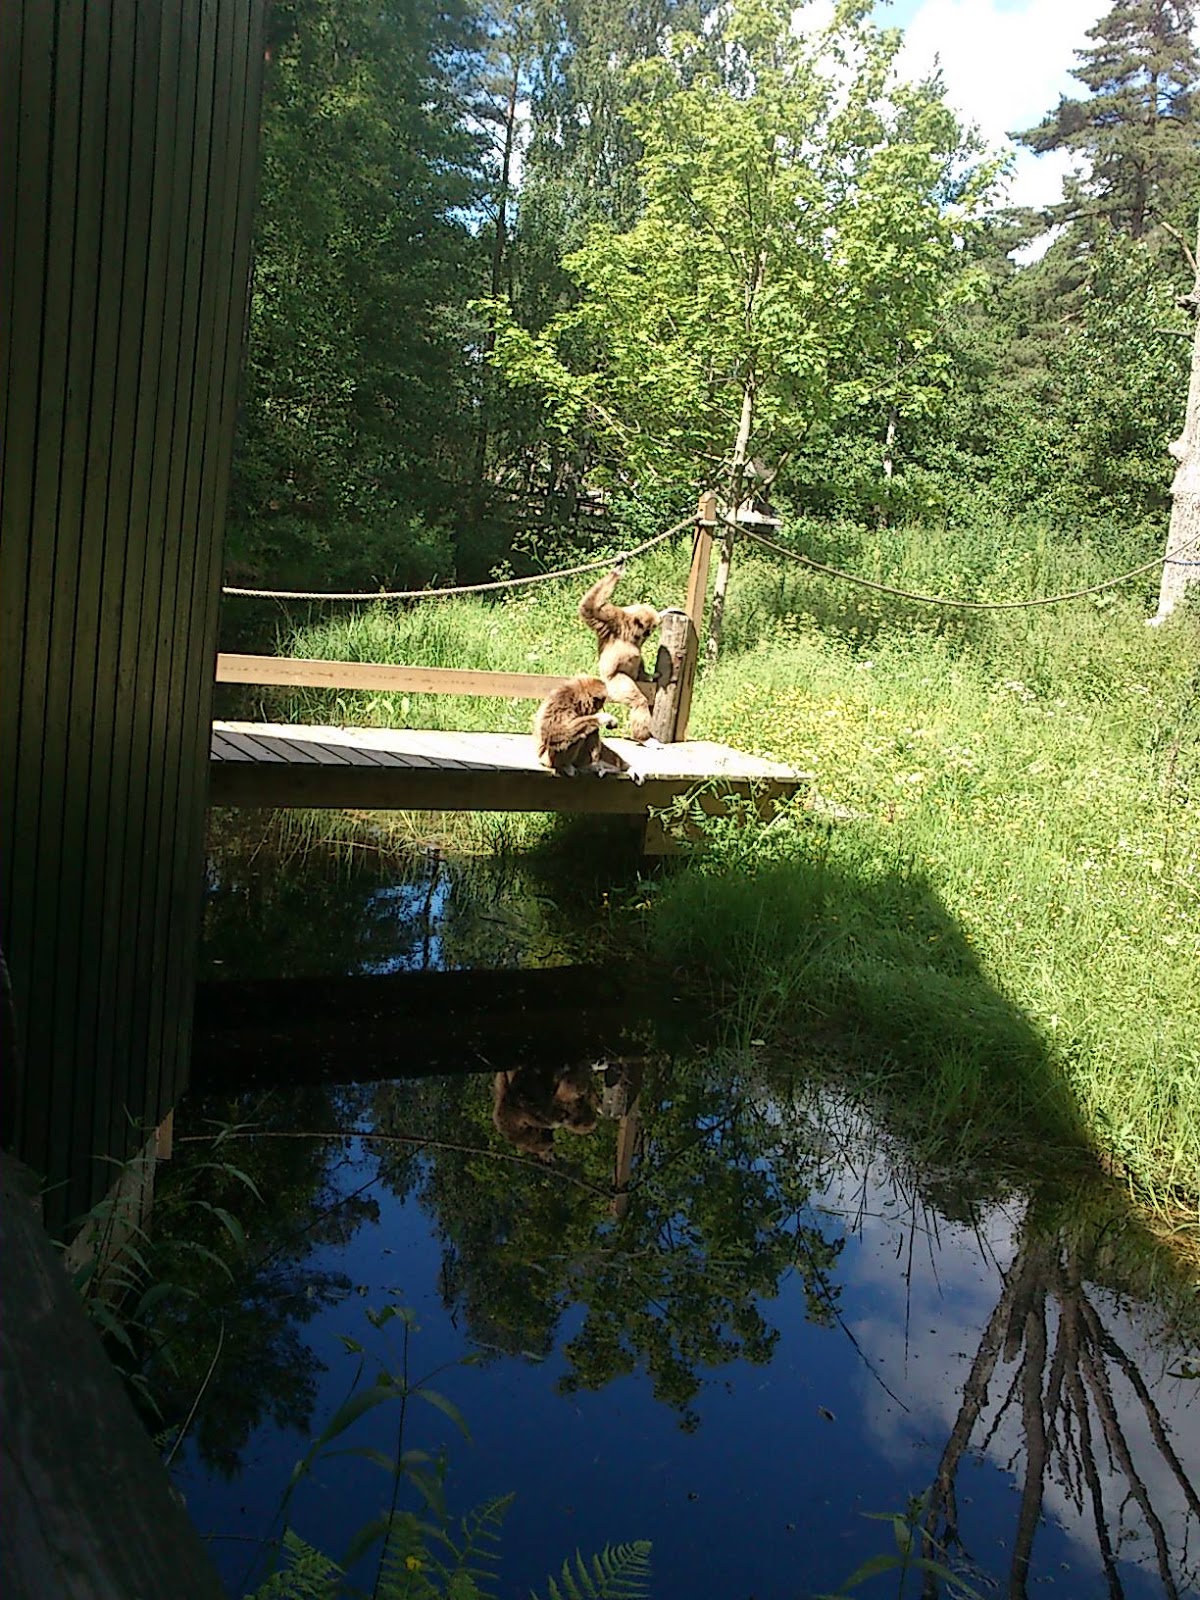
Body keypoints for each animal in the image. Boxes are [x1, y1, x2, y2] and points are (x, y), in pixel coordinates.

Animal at [579, 563, 672, 742]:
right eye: (648, 630)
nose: (647, 633)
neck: (630, 628)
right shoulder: (613, 619)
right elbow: (589, 608)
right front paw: (617, 570)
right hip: (613, 684)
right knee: (638, 700)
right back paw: (643, 736)